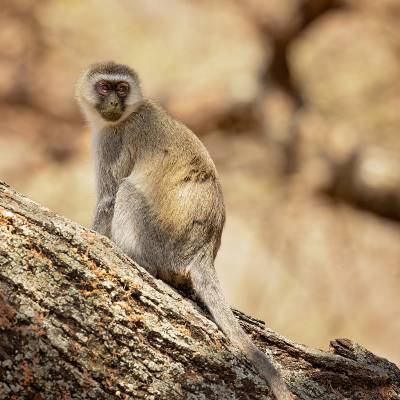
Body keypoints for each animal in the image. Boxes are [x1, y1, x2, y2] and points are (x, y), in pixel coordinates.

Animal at [76, 62, 292, 400]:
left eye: (121, 88)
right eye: (104, 87)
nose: (112, 102)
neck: (130, 113)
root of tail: (203, 249)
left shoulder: (114, 141)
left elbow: (109, 197)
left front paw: (95, 236)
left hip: (160, 242)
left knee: (128, 192)